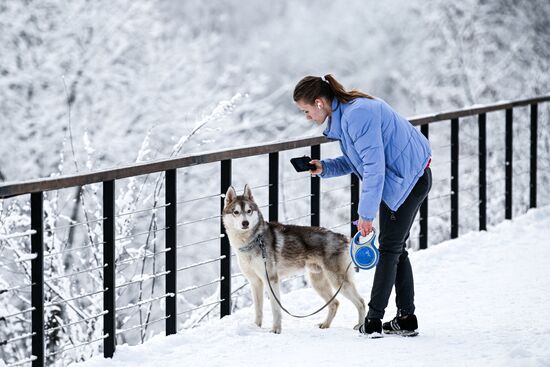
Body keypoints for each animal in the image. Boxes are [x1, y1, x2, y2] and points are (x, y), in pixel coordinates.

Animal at [220, 185, 366, 334]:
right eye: (236, 212)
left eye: (249, 211)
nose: (245, 223)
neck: (252, 241)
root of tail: (341, 236)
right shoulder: (255, 282)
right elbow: (258, 310)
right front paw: (255, 327)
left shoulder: (271, 280)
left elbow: (275, 309)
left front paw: (276, 330)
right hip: (318, 282)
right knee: (335, 303)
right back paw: (325, 325)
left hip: (338, 281)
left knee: (361, 302)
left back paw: (360, 326)